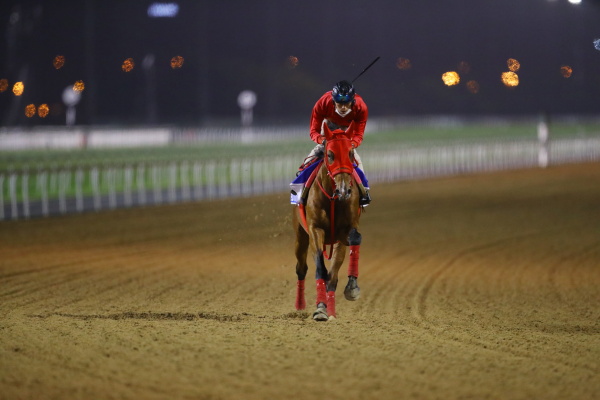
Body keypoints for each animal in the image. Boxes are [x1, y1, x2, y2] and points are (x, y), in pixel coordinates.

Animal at [292, 122, 364, 322]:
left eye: (350, 153)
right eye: (330, 154)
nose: (344, 190)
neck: (333, 199)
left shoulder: (344, 232)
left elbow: (355, 239)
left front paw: (351, 288)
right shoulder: (315, 229)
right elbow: (319, 269)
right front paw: (320, 309)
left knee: (332, 276)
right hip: (300, 236)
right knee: (301, 268)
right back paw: (300, 305)